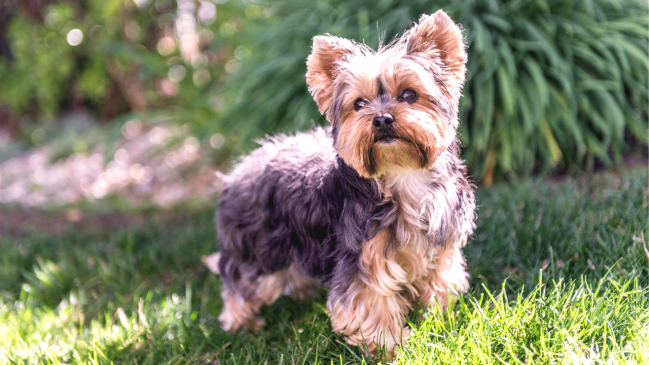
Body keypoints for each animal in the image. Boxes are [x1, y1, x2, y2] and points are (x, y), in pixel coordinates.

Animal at [210, 10, 474, 356]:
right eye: (359, 103)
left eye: (409, 95)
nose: (382, 119)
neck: (402, 175)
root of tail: (236, 171)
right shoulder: (362, 255)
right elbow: (370, 302)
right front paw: (389, 346)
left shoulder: (441, 245)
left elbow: (440, 281)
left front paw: (438, 319)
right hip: (259, 248)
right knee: (240, 280)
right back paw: (241, 324)